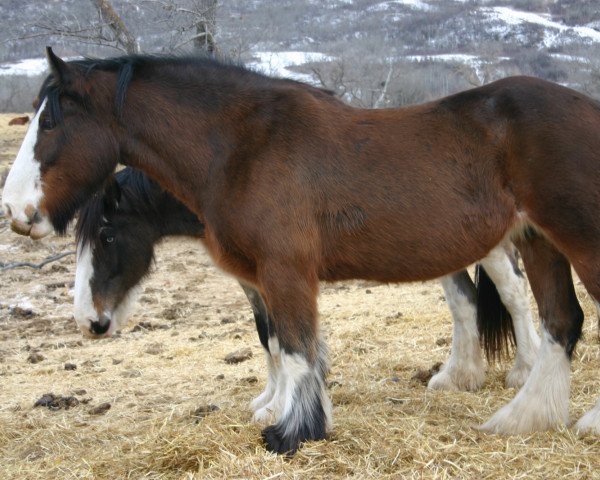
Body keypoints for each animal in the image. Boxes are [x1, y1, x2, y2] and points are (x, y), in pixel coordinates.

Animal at [2, 48, 596, 454]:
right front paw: (284, 412)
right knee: (559, 321)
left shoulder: (284, 272)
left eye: (49, 121)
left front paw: (292, 432)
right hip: (537, 241)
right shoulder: (262, 277)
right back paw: (522, 418)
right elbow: (282, 345)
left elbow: (293, 349)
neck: (242, 147)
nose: (14, 210)